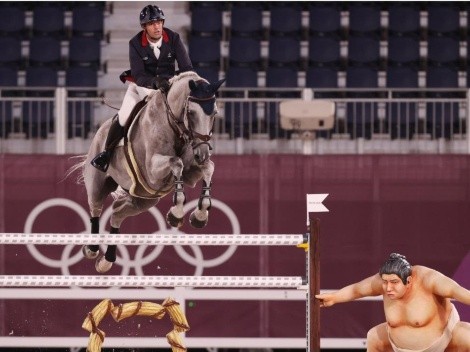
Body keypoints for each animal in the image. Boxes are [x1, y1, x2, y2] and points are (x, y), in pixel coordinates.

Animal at [73, 71, 226, 274]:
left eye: (214, 113)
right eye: (191, 113)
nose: (202, 154)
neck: (173, 125)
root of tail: (99, 131)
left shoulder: (190, 174)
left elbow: (208, 168)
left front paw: (200, 215)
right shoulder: (153, 172)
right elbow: (176, 162)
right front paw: (176, 213)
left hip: (145, 198)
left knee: (117, 212)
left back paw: (107, 260)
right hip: (98, 183)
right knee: (95, 209)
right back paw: (91, 249)